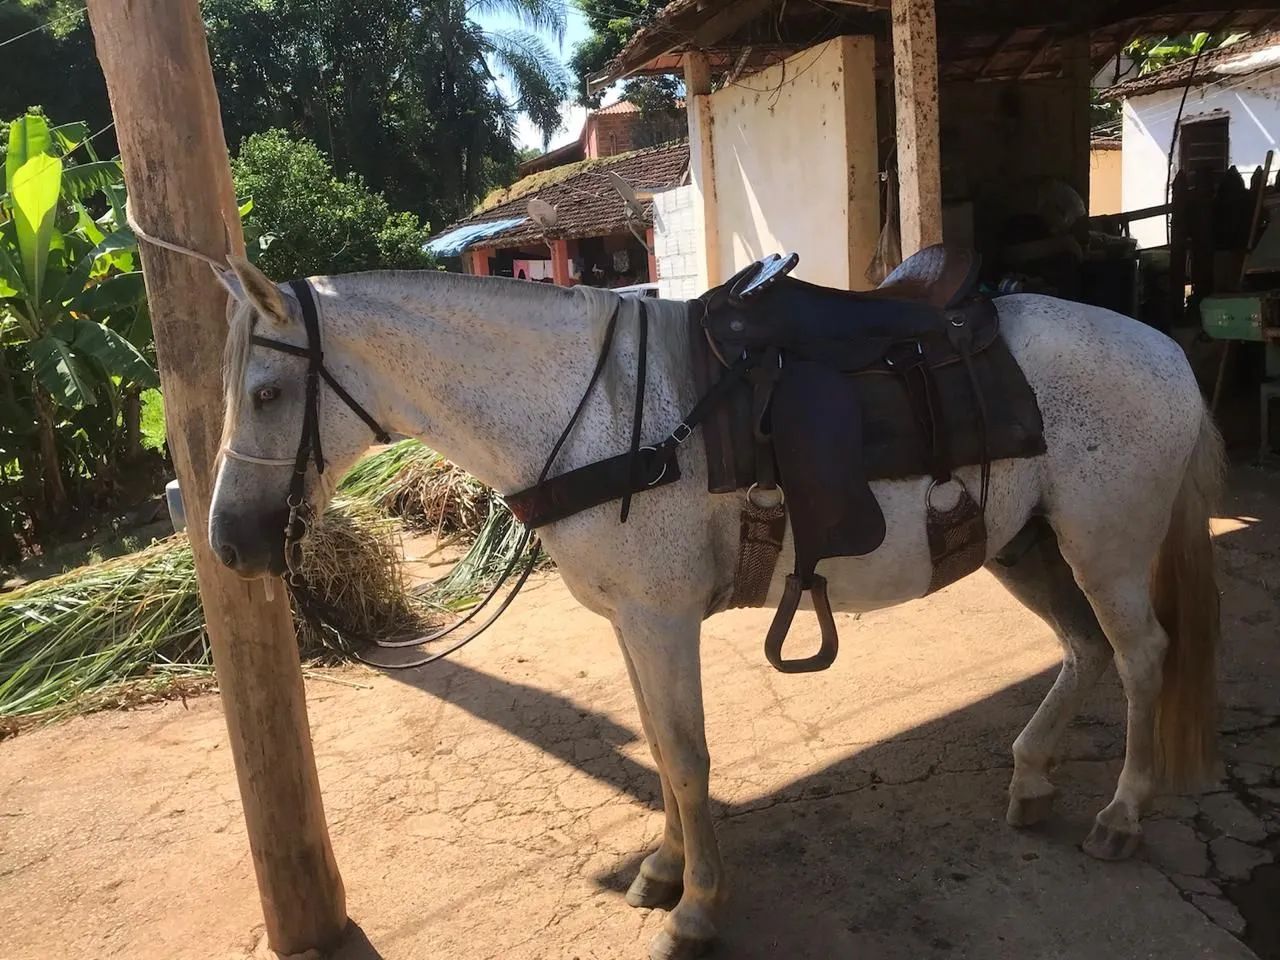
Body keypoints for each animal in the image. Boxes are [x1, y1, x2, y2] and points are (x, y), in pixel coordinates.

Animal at [208, 256, 1222, 960]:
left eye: (265, 392)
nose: (227, 541)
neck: (599, 413)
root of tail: (1166, 349)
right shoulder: (629, 621)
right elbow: (661, 751)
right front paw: (663, 869)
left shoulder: (661, 620)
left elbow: (688, 757)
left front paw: (696, 910)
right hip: (1027, 545)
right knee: (1086, 652)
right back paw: (1033, 778)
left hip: (1106, 546)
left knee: (1141, 656)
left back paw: (1122, 814)